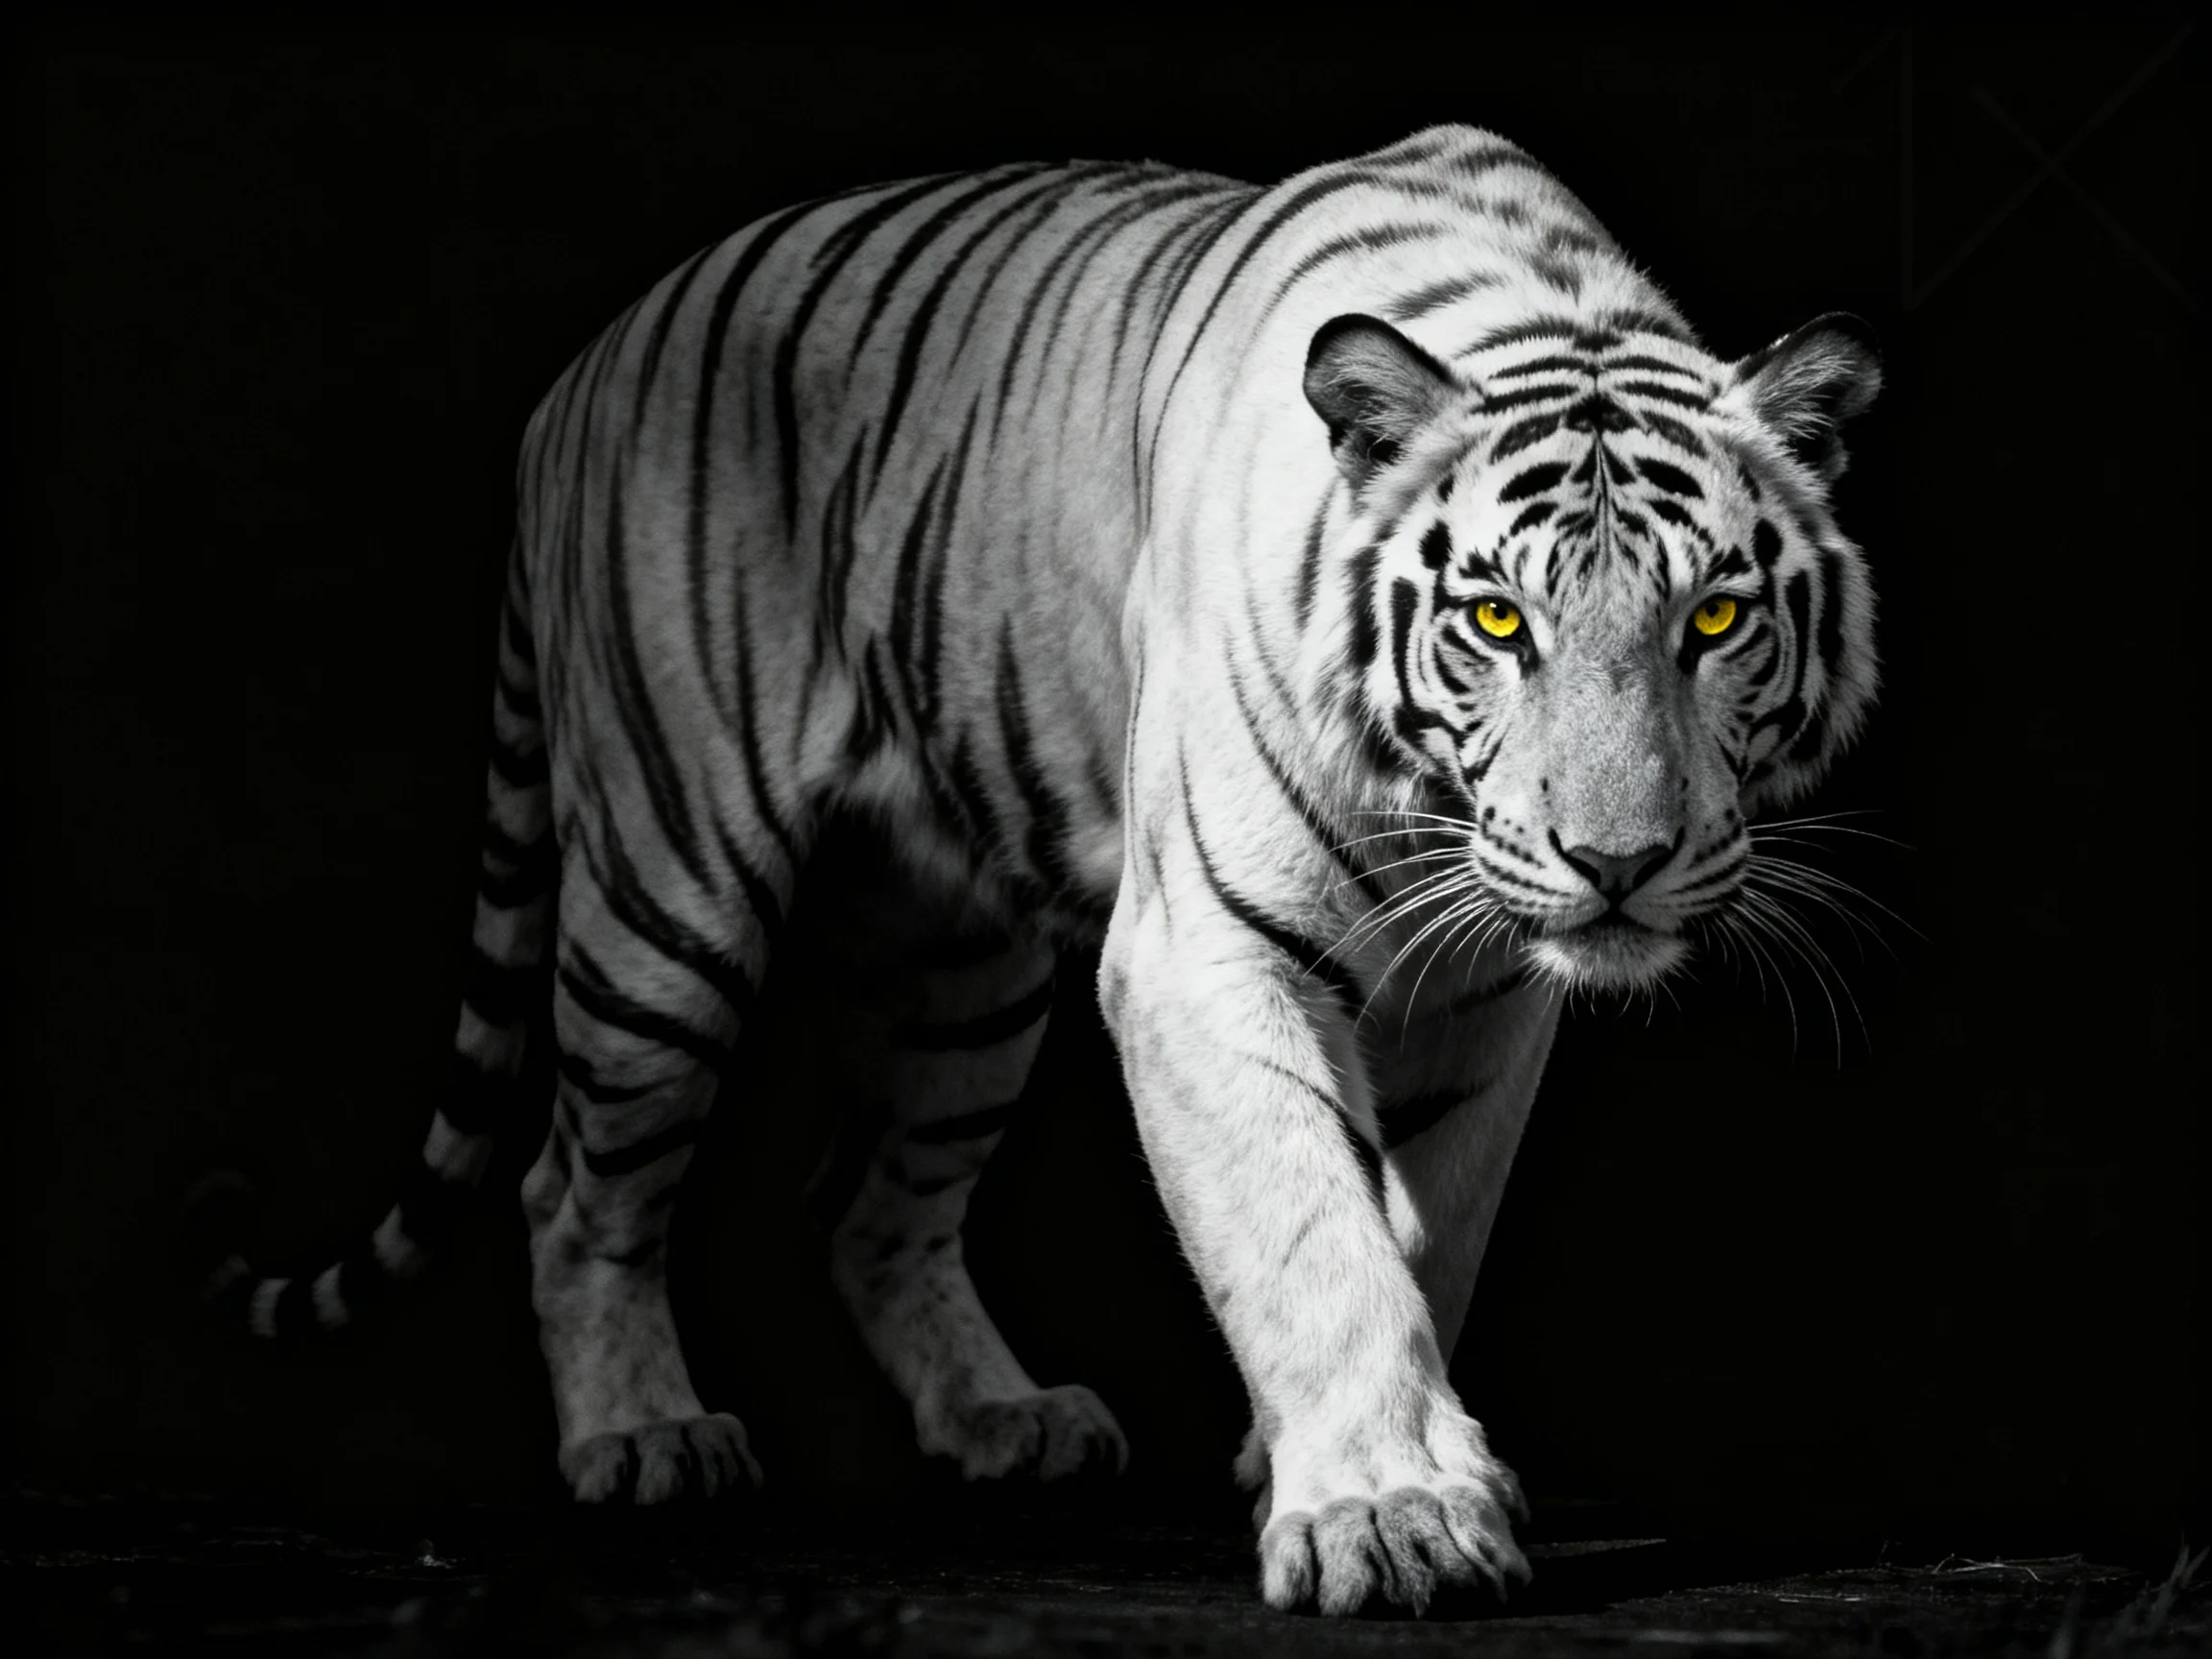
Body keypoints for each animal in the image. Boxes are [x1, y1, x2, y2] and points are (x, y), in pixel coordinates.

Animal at [212, 124, 1881, 1617]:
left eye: (1715, 621)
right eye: (1494, 622)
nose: (1619, 863)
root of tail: (579, 376)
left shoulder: (1479, 1006)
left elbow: (1428, 1237)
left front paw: (1336, 1461)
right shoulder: (1205, 957)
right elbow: (1311, 1235)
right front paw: (1387, 1517)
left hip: (959, 974)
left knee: (867, 1210)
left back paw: (1004, 1419)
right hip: (663, 900)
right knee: (573, 1186)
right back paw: (644, 1435)